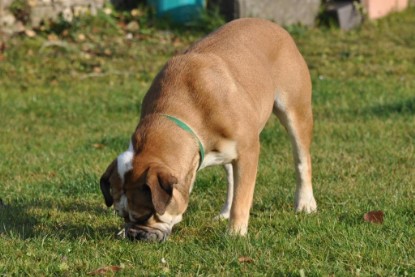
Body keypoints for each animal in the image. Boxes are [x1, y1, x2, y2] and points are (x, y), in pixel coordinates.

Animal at [100, 18, 316, 240]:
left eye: (146, 215)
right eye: (122, 214)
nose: (134, 234)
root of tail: (274, 26)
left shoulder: (248, 152)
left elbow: (242, 198)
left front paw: (235, 232)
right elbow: (235, 187)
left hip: (295, 111)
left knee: (302, 160)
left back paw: (305, 203)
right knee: (231, 180)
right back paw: (225, 212)